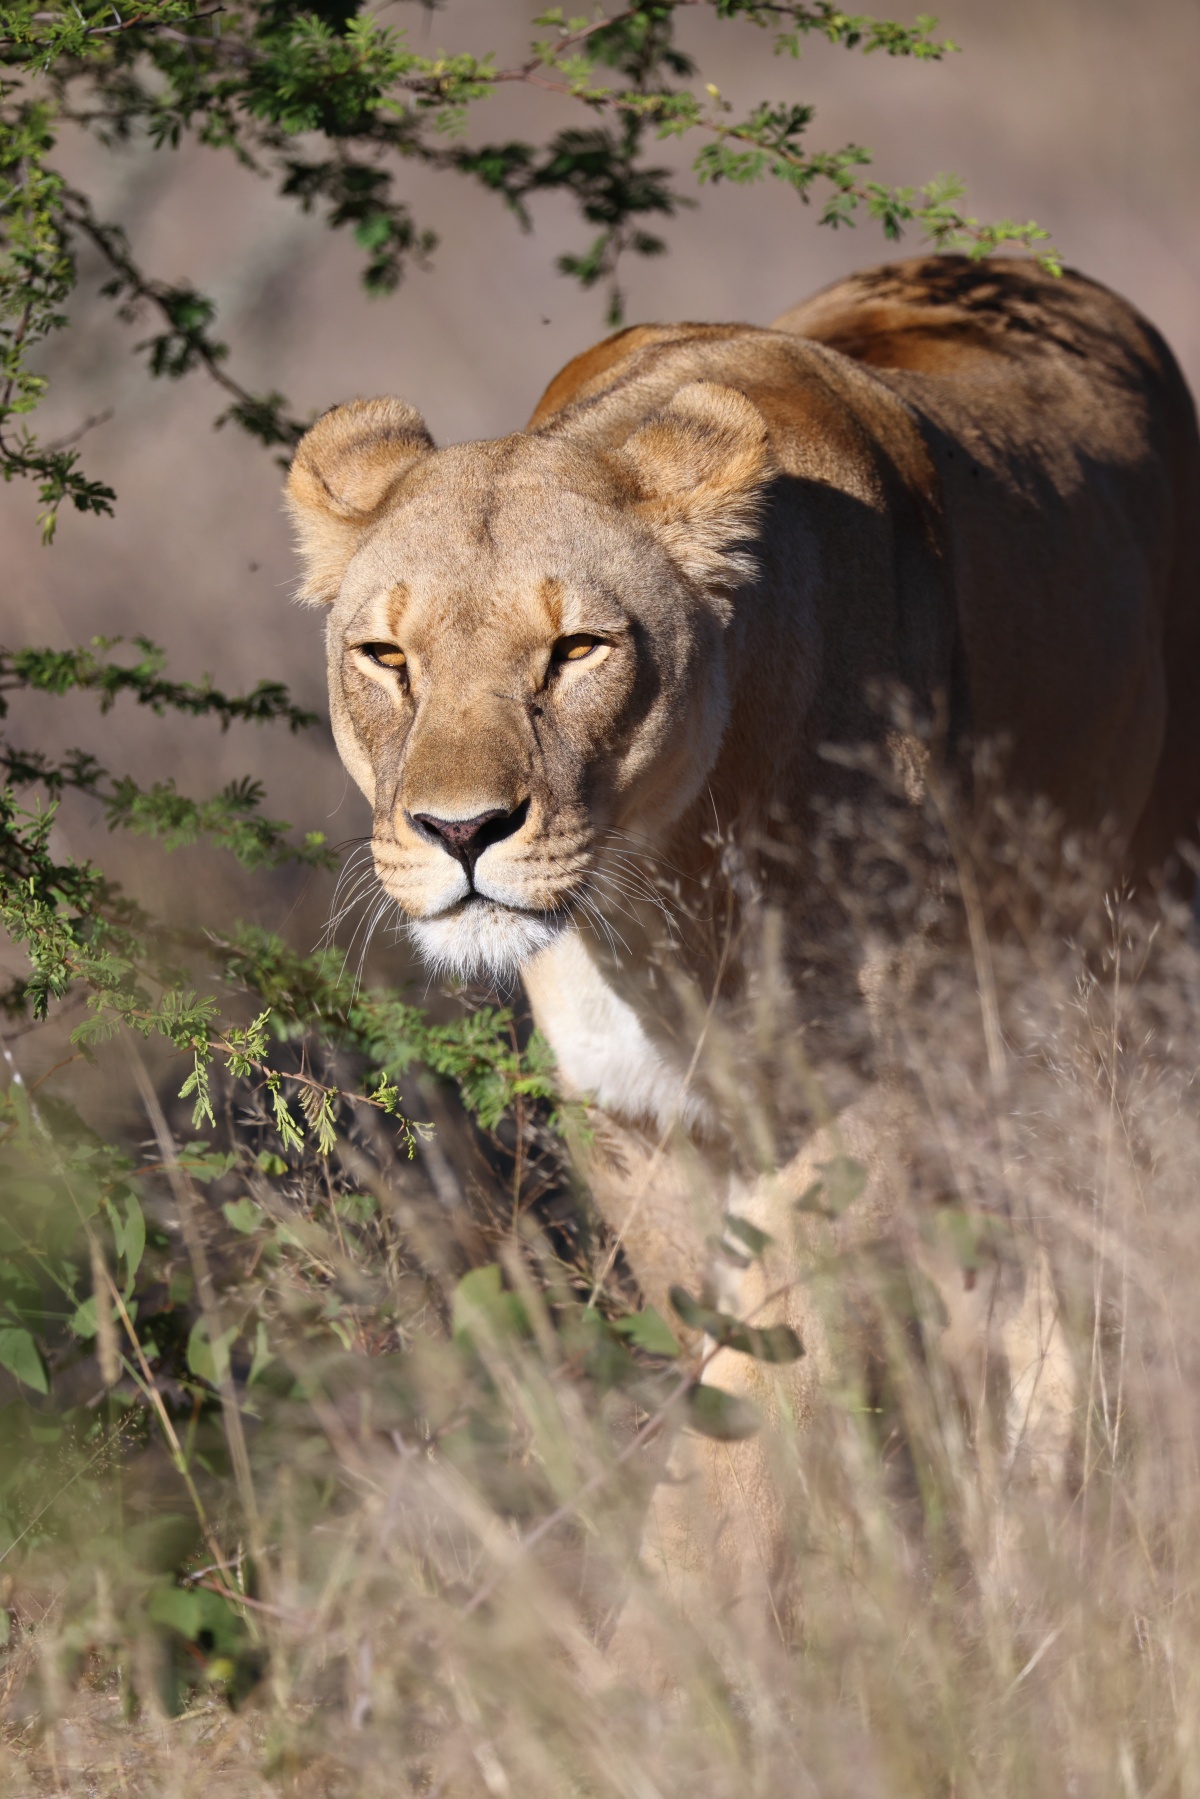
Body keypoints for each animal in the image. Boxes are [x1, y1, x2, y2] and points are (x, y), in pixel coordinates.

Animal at [285, 257, 1200, 1665]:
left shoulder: (867, 1103)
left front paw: (681, 1661)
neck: (676, 893)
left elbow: (762, 1390)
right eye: (386, 657)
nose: (461, 832)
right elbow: (726, 1376)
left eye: (577, 650)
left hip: (1116, 977)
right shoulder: (636, 1118)